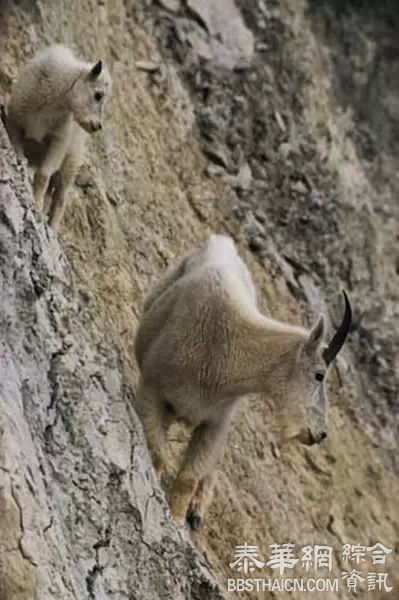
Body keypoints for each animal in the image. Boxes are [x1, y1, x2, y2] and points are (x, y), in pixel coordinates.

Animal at [6, 44, 112, 227]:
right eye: (98, 95)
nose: (97, 126)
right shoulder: (15, 122)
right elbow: (20, 156)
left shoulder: (59, 142)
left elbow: (43, 175)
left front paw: (36, 206)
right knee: (52, 193)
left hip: (71, 163)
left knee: (61, 197)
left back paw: (52, 226)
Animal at [135, 234, 354, 528]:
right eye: (319, 374)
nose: (320, 433)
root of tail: (221, 240)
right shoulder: (152, 390)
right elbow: (156, 451)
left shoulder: (215, 422)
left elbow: (189, 477)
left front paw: (178, 519)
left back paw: (198, 512)